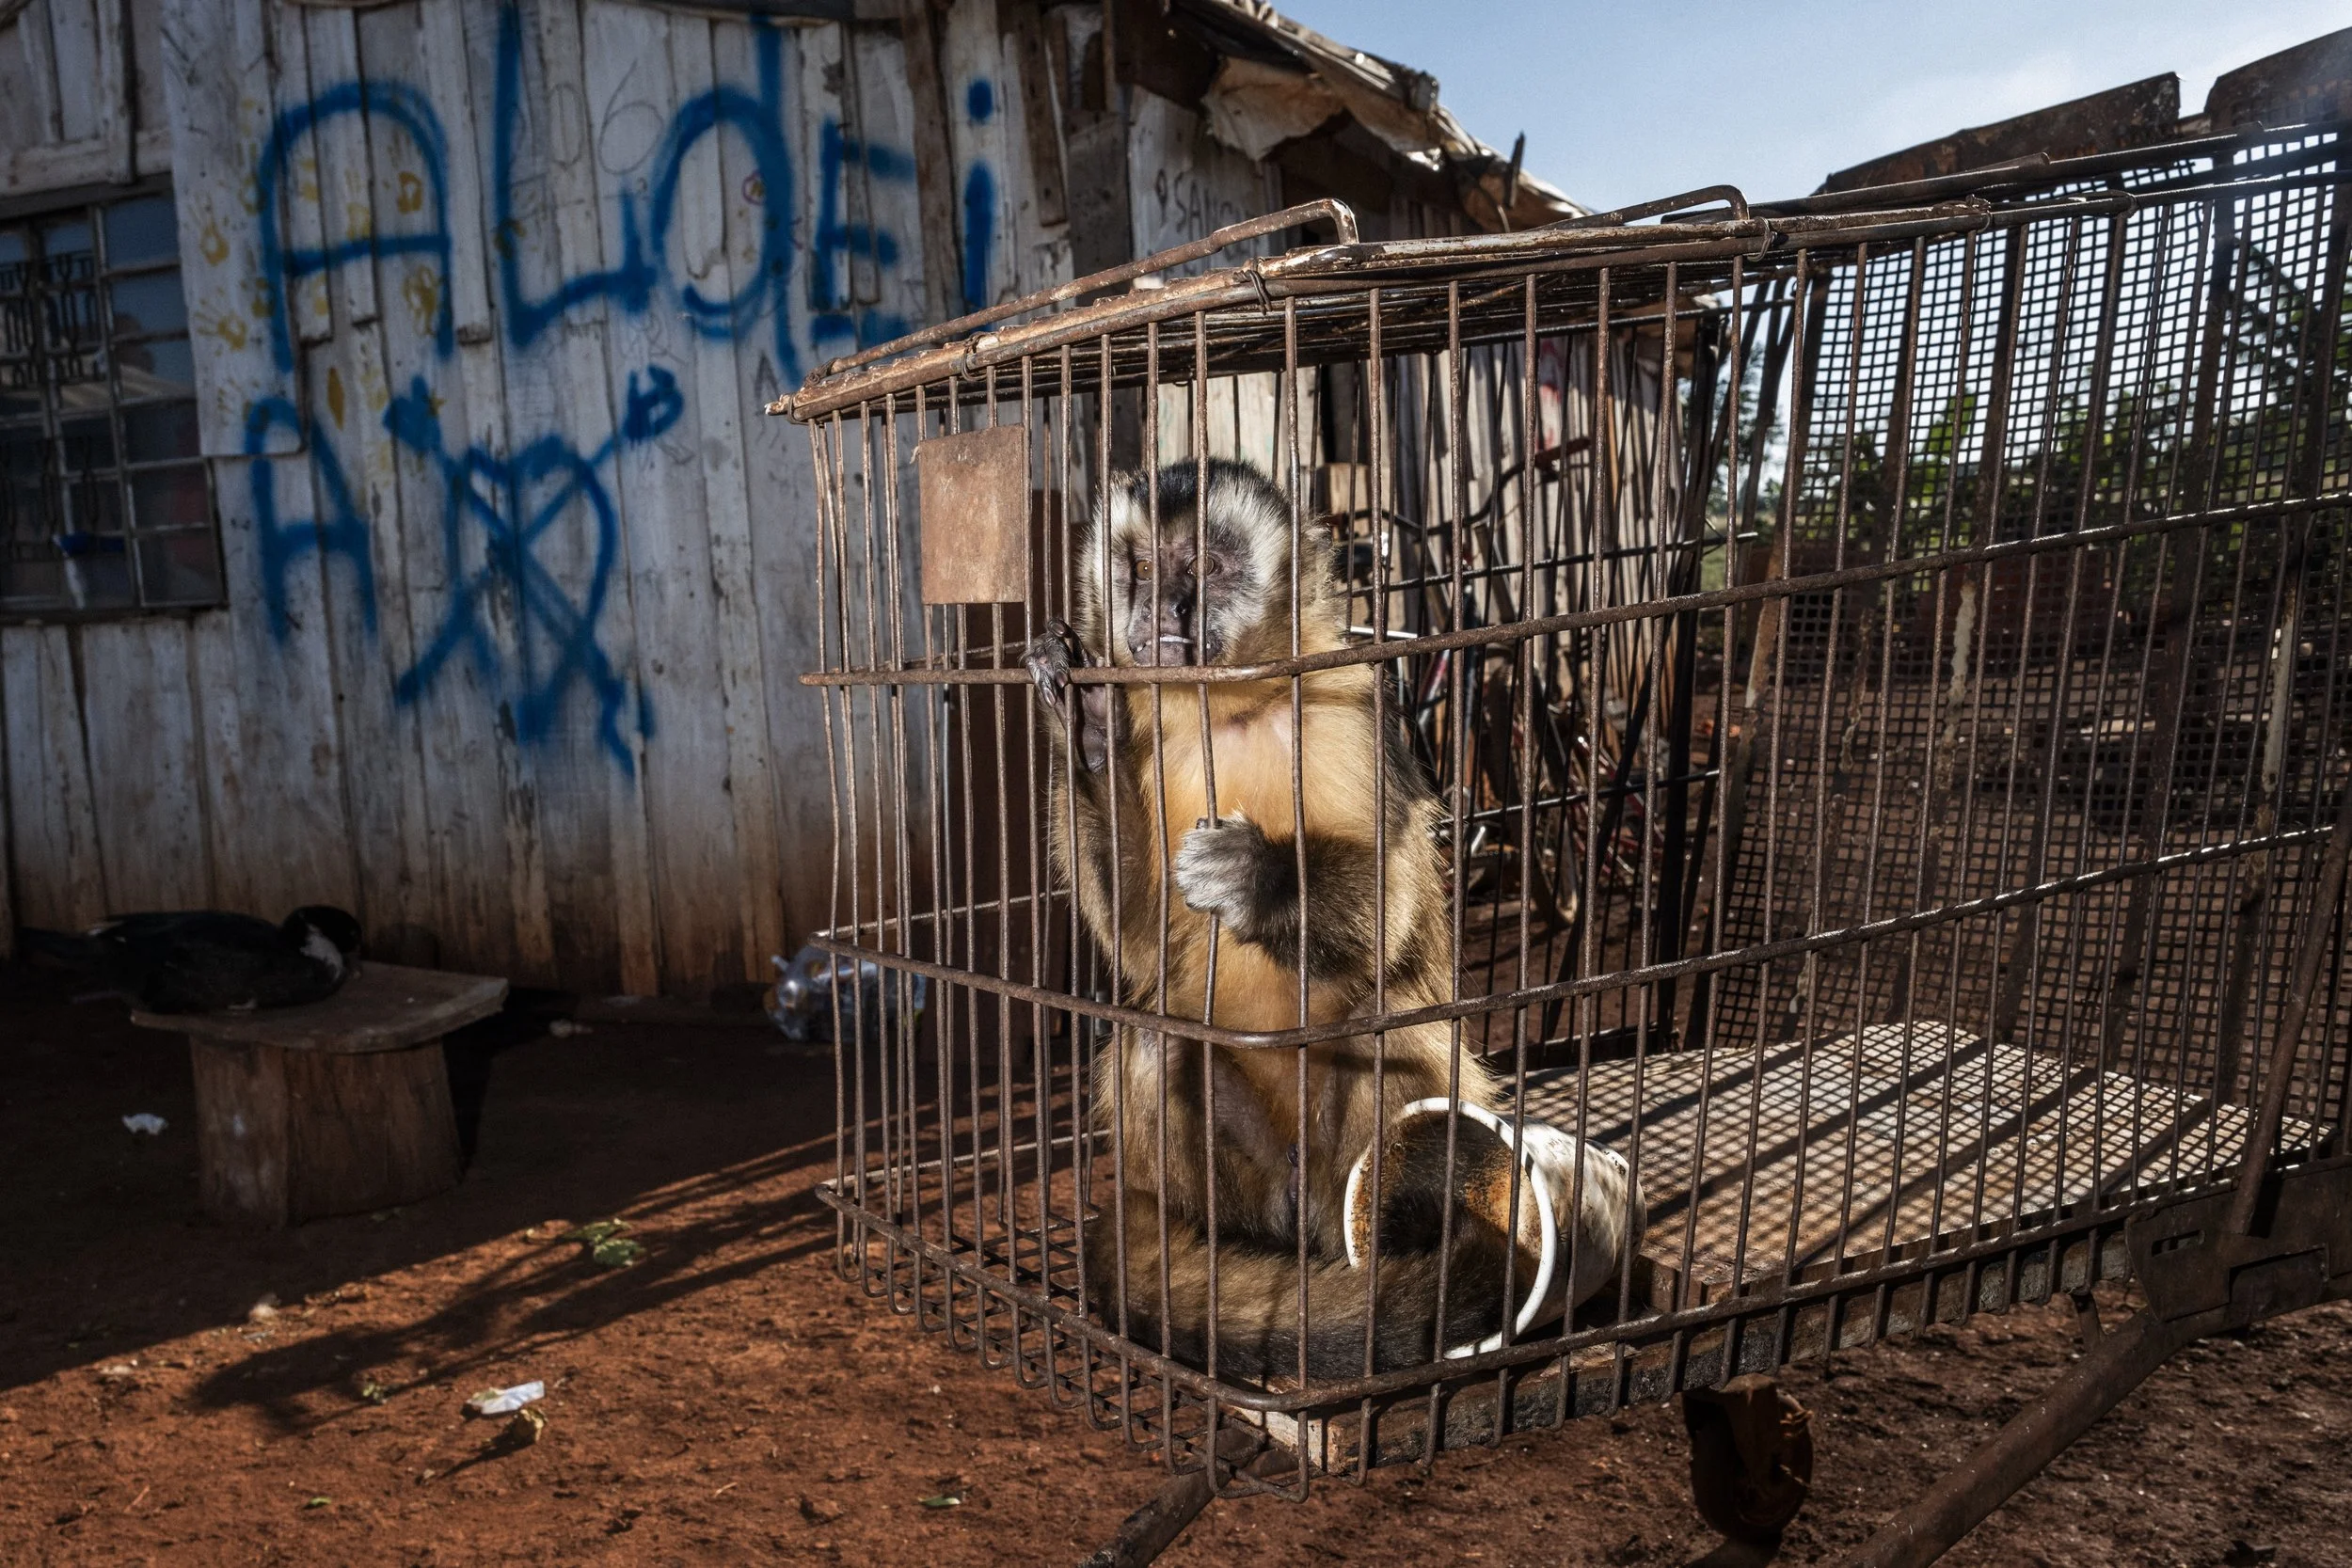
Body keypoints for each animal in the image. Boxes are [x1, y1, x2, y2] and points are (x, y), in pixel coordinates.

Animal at [1025, 458, 1634, 1383]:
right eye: (1141, 567)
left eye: (1208, 568)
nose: (1162, 609)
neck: (1232, 709)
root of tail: (1294, 1196)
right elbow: (1140, 941)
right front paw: (1087, 729)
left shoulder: (1351, 705)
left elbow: (1391, 901)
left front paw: (1259, 877)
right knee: (1158, 1039)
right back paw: (1221, 1248)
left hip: (1332, 1159)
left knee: (1386, 1027)